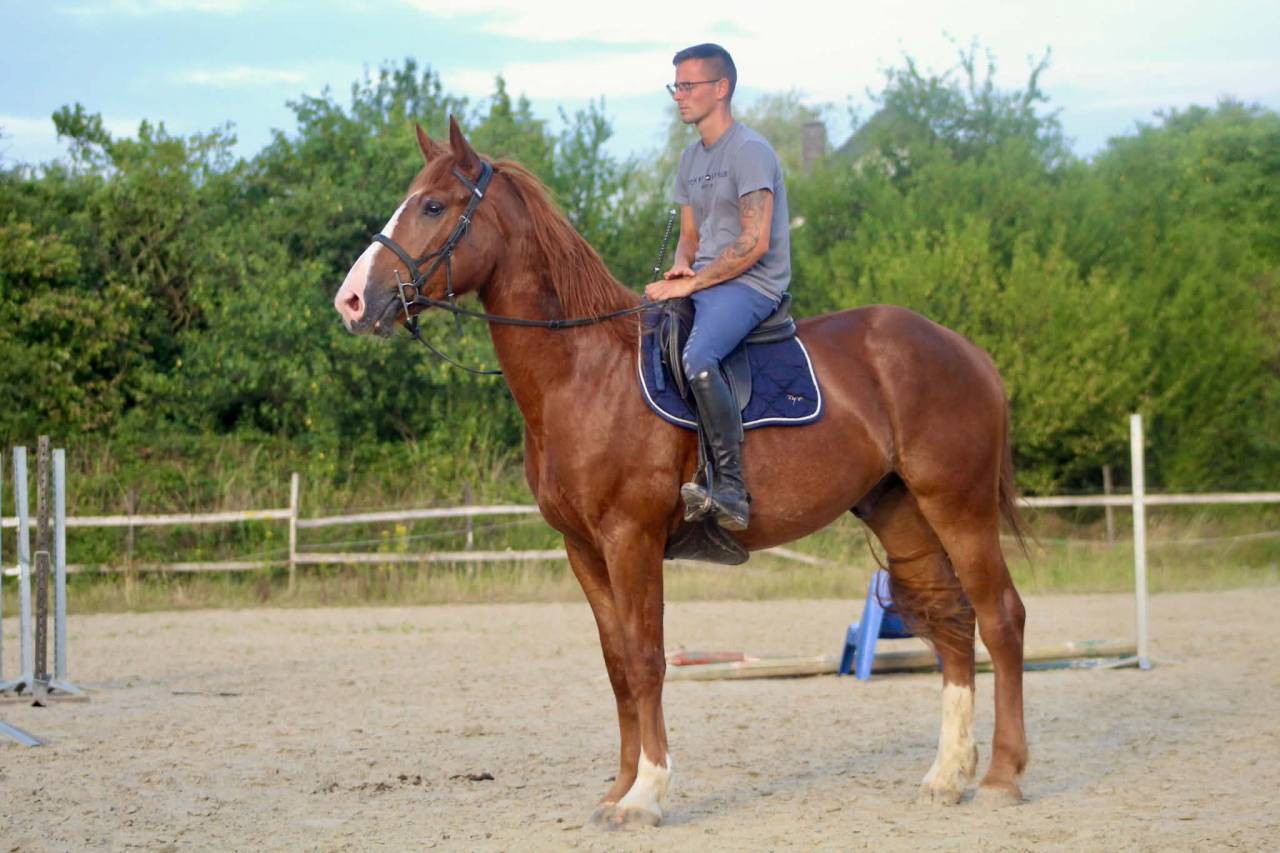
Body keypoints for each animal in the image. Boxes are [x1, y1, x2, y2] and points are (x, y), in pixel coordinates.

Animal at [334, 117, 1029, 826]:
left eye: (432, 206)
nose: (352, 301)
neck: (583, 372)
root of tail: (967, 351)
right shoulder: (584, 549)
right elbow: (617, 666)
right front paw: (617, 789)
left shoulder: (631, 539)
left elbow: (647, 661)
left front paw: (646, 793)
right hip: (900, 510)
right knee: (953, 621)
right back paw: (947, 774)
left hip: (959, 506)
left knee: (1001, 616)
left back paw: (1001, 775)